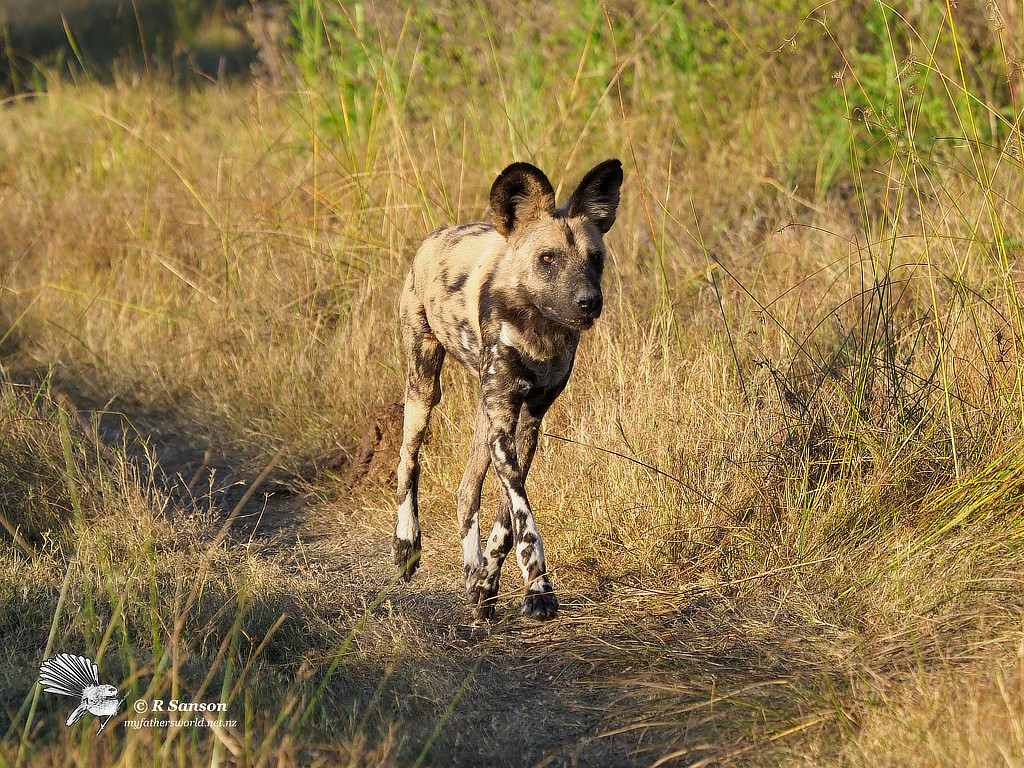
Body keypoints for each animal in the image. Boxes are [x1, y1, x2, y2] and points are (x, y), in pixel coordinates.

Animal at [391, 159, 618, 622]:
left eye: (596, 259)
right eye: (548, 258)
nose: (590, 302)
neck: (539, 328)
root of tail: (435, 236)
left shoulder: (527, 419)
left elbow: (507, 521)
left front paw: (488, 584)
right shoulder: (503, 422)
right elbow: (524, 517)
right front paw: (539, 590)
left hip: (483, 413)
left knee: (465, 492)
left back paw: (472, 571)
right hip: (424, 386)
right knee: (408, 458)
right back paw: (407, 545)